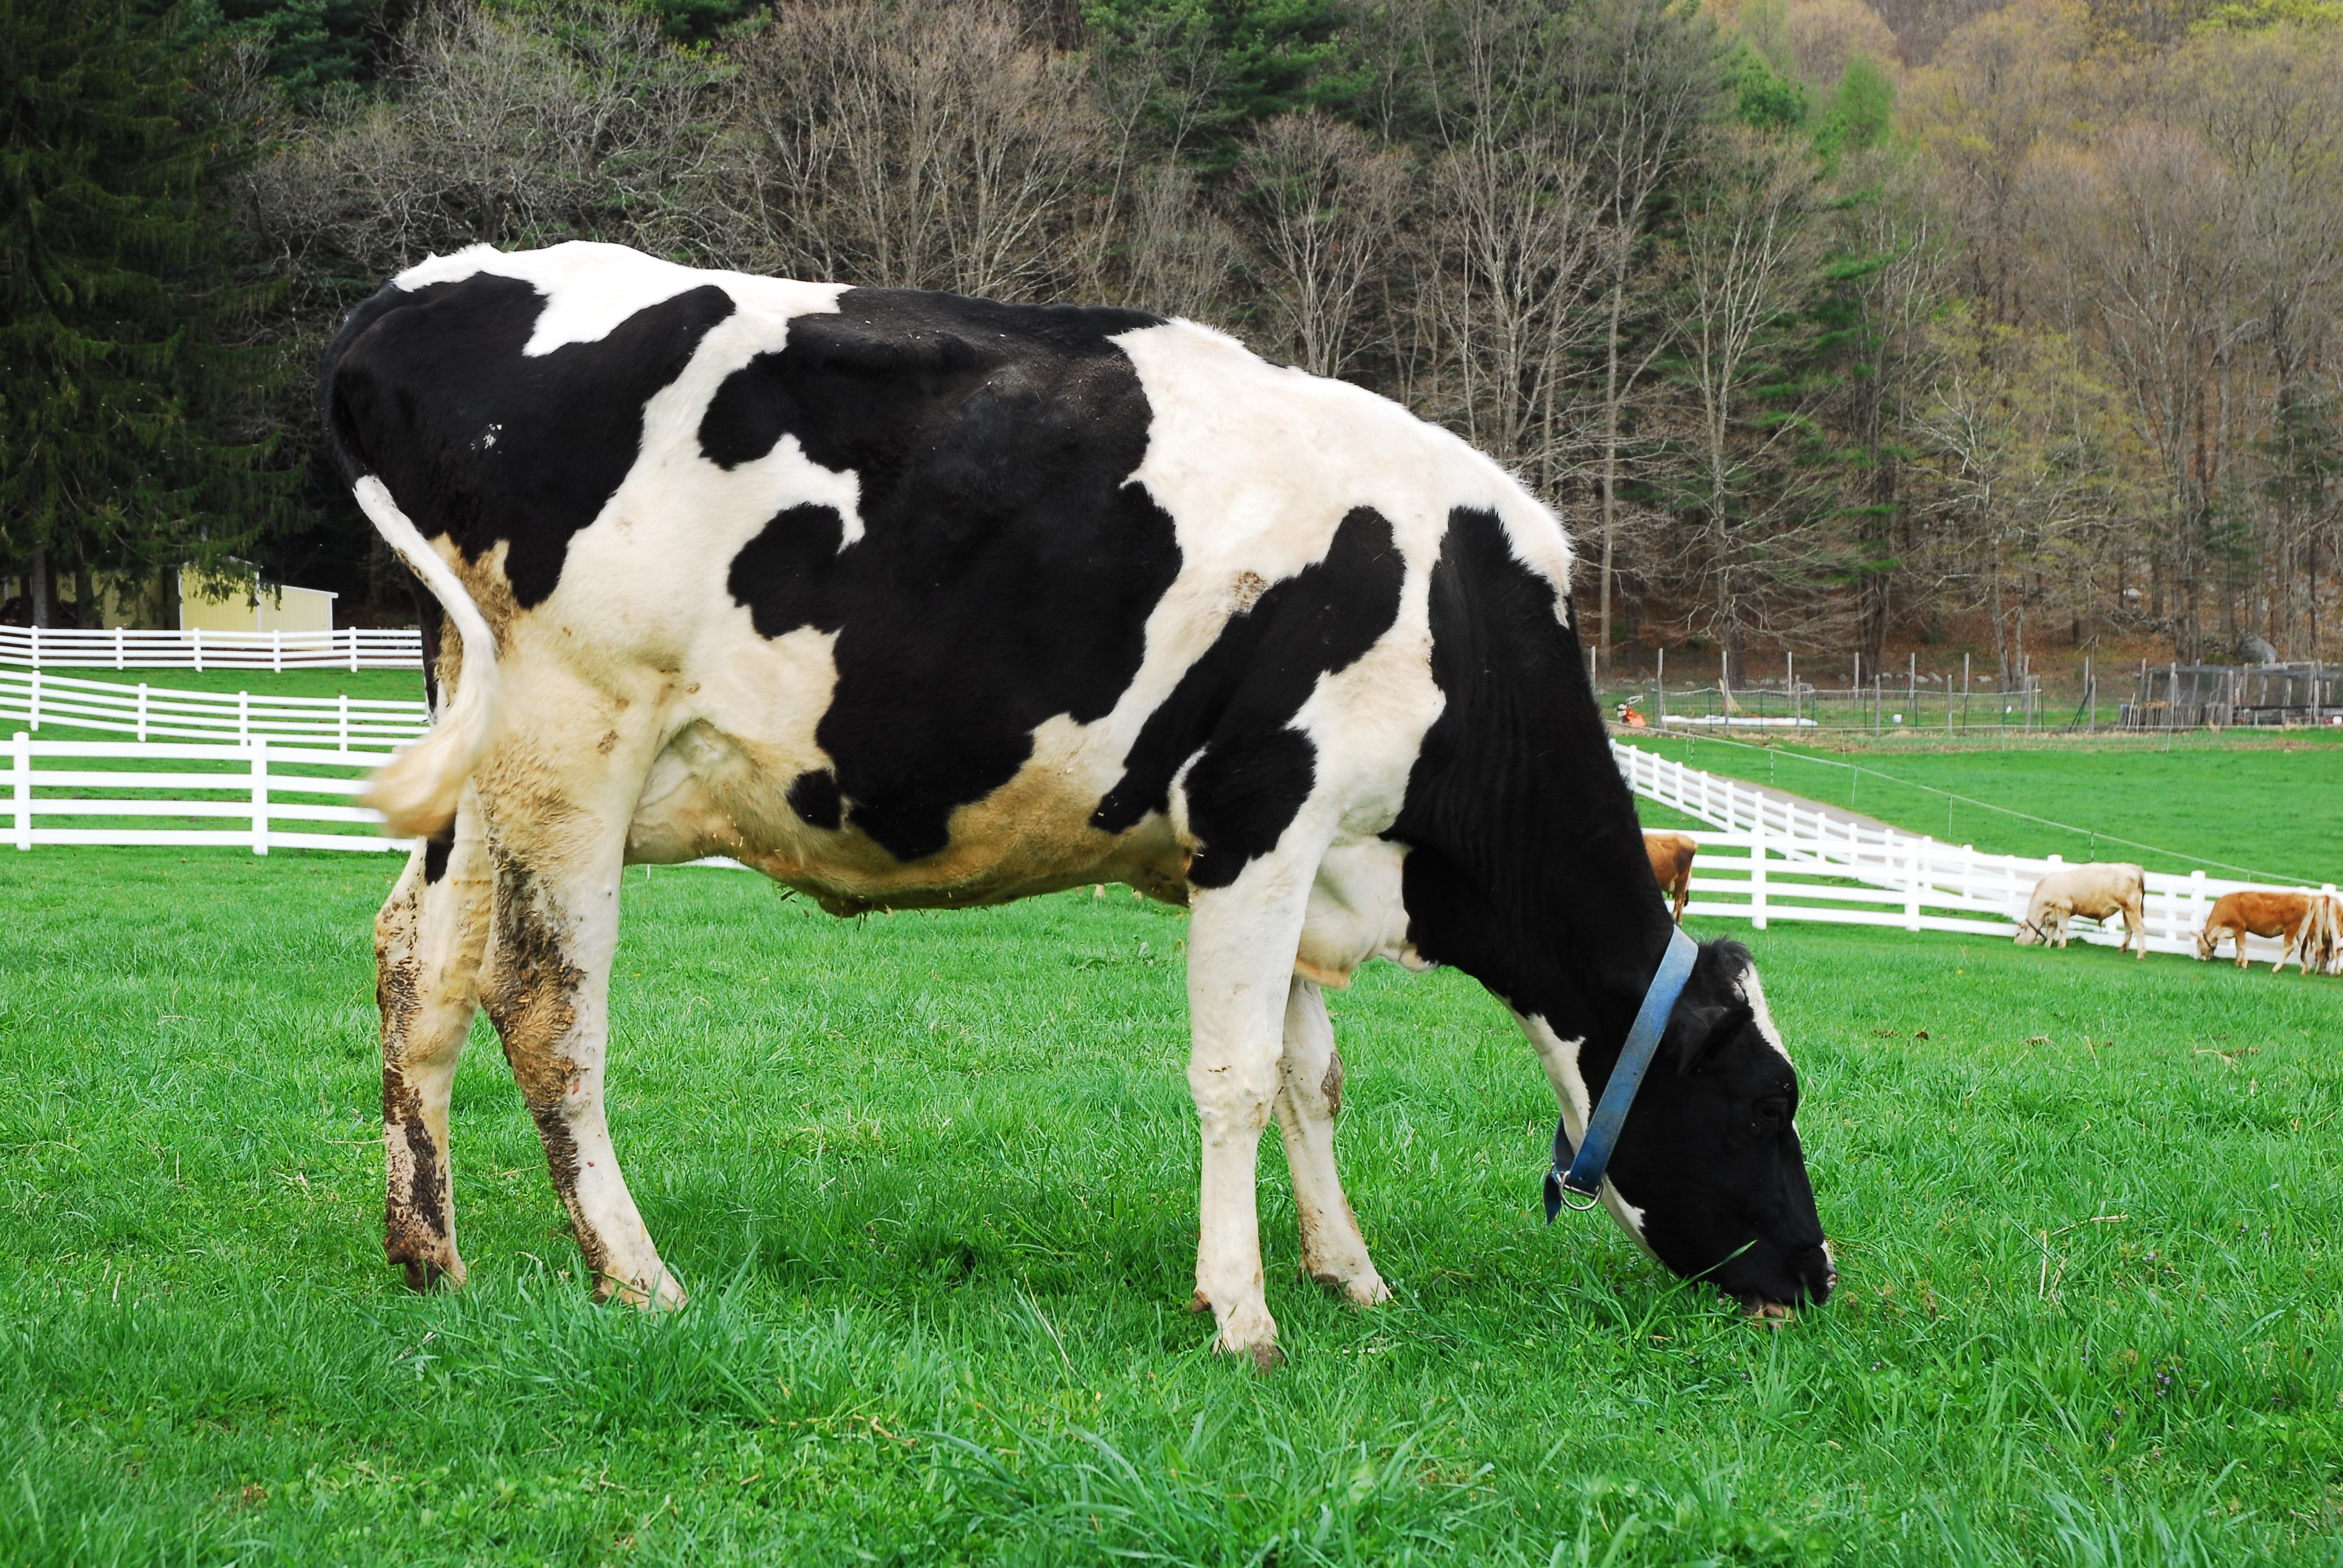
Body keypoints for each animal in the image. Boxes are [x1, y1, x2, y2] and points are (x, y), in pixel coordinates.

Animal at [2014, 862, 2146, 961]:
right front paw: (2047, 946)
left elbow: (2062, 929)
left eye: (2018, 934)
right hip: (2126, 910)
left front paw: (2061, 945)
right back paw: (2122, 950)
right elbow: (2051, 931)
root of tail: (2134, 867)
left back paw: (2141, 955)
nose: (2016, 944)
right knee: (2129, 929)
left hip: (2132, 907)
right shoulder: (2053, 914)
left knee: (2139, 928)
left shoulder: (2065, 908)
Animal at [2193, 886, 2324, 970]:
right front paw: (2237, 961)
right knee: (2307, 947)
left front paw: (2244, 964)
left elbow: (2242, 945)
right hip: (2301, 931)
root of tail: (2307, 898)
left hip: (2291, 930)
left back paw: (2276, 968)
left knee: (2289, 948)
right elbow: (2238, 946)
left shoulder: (2240, 928)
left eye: (2198, 943)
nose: (2202, 959)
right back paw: (2305, 969)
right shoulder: (2237, 931)